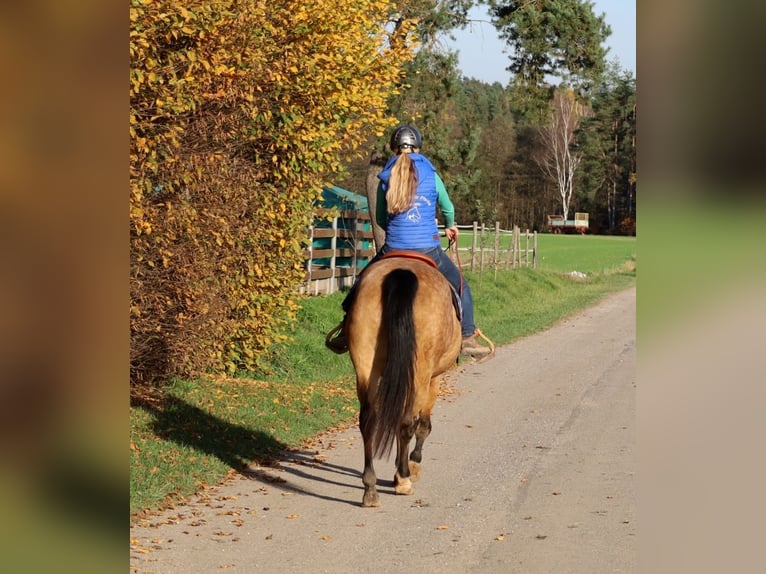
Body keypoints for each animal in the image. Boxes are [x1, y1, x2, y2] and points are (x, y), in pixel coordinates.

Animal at [346, 252, 462, 508]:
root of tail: (402, 274)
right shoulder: (434, 378)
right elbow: (424, 425)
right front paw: (413, 463)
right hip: (420, 372)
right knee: (408, 423)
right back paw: (403, 479)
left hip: (365, 364)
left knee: (368, 420)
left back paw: (370, 488)